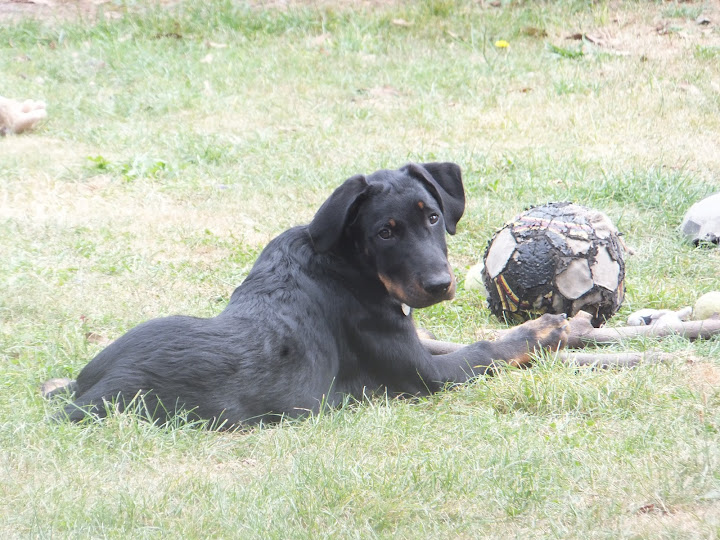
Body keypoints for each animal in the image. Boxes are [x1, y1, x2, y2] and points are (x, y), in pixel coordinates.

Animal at [46, 162, 568, 428]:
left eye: (433, 216)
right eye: (384, 232)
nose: (441, 285)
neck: (347, 263)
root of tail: (86, 396)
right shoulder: (425, 375)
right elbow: (487, 349)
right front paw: (546, 328)